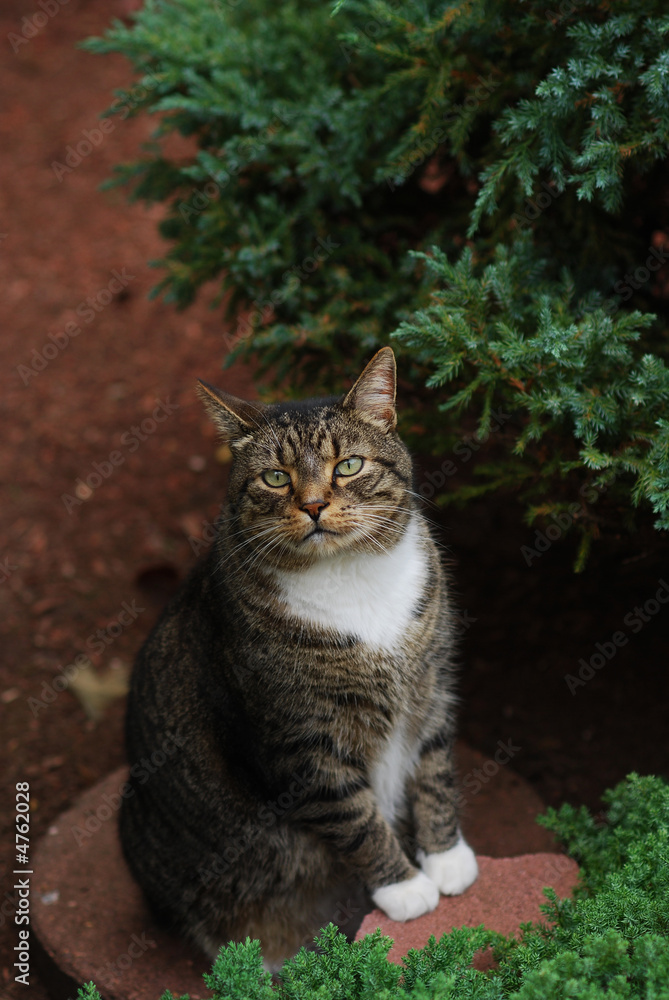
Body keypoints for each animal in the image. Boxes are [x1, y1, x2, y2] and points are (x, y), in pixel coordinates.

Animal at [118, 348, 474, 972]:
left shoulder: (431, 684)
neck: (351, 578)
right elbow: (357, 818)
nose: (312, 505)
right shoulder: (301, 740)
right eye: (276, 477)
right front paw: (405, 887)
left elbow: (434, 769)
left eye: (348, 465)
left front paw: (445, 857)